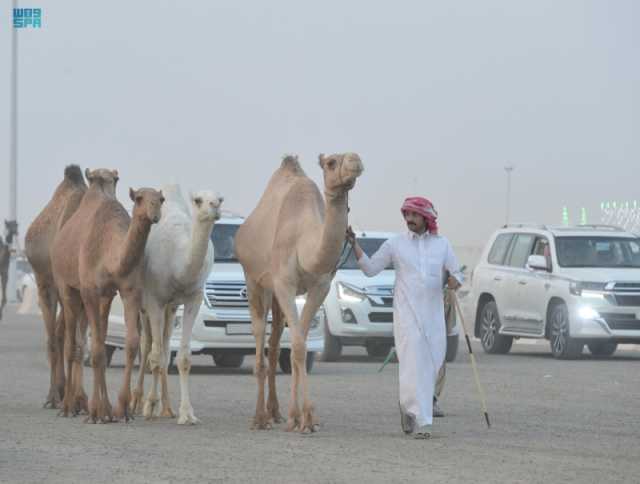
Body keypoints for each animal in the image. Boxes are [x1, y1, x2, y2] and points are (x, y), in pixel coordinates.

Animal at [23, 164, 87, 406]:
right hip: (44, 282)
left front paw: (80, 400)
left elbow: (78, 342)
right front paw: (73, 400)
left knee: (60, 334)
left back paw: (62, 391)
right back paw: (54, 395)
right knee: (53, 337)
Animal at [51, 170, 164, 424]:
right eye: (139, 198)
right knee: (72, 343)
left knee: (95, 340)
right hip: (68, 287)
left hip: (102, 298)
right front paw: (94, 413)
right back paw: (68, 407)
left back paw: (104, 409)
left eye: (161, 199)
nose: (155, 214)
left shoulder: (129, 291)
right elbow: (96, 350)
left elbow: (130, 344)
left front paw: (121, 409)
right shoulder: (90, 291)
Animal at [130, 184, 222, 424]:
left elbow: (182, 358)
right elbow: (154, 356)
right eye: (198, 200)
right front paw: (149, 405)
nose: (215, 208)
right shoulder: (154, 301)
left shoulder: (193, 298)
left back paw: (166, 408)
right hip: (144, 306)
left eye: (220, 199)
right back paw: (138, 403)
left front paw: (186, 413)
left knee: (163, 346)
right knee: (147, 346)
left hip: (170, 309)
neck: (178, 264)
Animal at [235, 152, 364, 432]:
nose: (355, 161)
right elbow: (297, 345)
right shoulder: (284, 282)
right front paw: (303, 417)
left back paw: (274, 412)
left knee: (274, 344)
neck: (305, 242)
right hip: (254, 280)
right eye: (331, 162)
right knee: (259, 336)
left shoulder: (319, 287)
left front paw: (301, 418)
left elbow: (299, 344)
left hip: (275, 295)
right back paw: (259, 417)